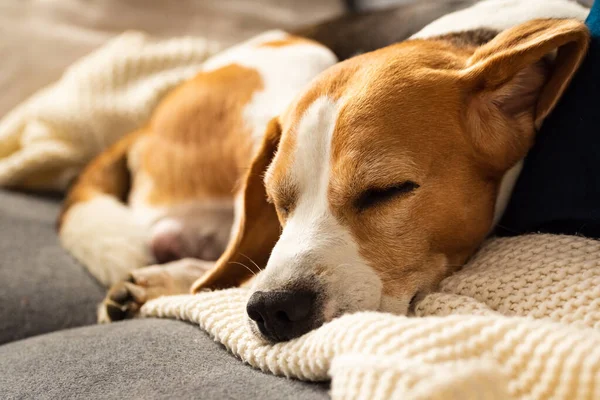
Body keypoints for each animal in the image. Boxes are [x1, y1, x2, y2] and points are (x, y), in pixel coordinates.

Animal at [58, 0, 588, 338]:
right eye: (277, 201)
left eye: (387, 191)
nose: (272, 310)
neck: (465, 40)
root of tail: (145, 125)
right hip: (300, 63)